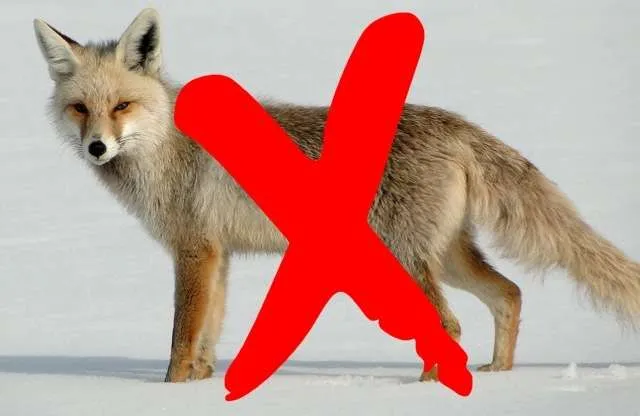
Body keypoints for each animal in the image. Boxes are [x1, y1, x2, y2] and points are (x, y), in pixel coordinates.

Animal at [33, 7, 640, 384]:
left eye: (122, 106)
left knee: (449, 325)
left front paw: (170, 392)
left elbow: (182, 340)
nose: (96, 147)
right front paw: (201, 387)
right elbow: (208, 337)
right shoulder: (218, 254)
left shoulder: (194, 251)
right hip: (448, 256)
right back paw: (499, 376)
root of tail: (457, 123)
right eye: (81, 108)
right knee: (509, 294)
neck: (167, 149)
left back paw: (428, 391)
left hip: (407, 257)